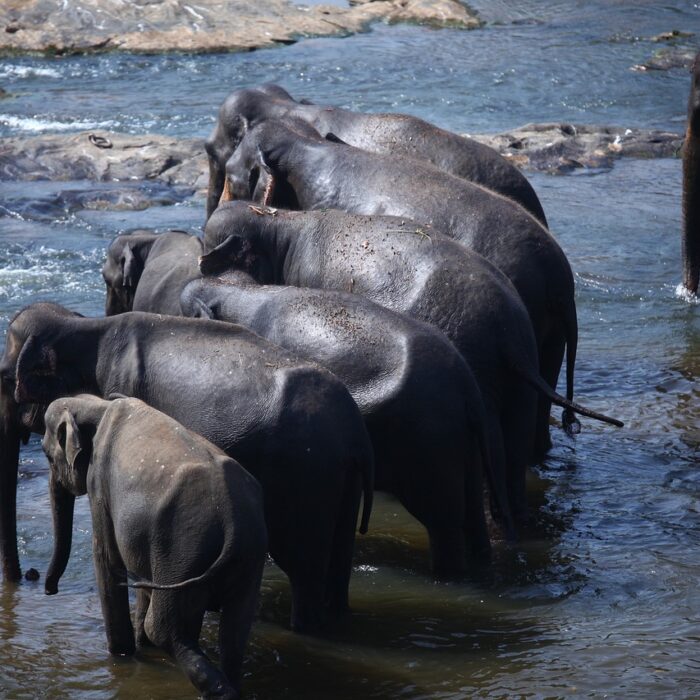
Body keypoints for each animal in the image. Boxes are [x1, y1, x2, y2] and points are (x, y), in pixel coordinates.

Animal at [0, 303, 373, 636]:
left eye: (4, 379)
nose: (35, 578)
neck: (85, 326)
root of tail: (355, 429)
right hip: (344, 480)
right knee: (338, 562)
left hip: (306, 478)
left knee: (302, 567)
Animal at [42, 394, 267, 700]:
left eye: (47, 456)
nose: (49, 590)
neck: (98, 404)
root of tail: (233, 520)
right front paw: (138, 647)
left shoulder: (99, 485)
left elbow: (107, 559)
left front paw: (122, 655)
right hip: (244, 558)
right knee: (235, 629)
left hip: (181, 551)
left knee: (163, 628)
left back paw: (220, 692)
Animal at [181, 274, 491, 576]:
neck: (243, 291)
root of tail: (466, 382)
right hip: (462, 442)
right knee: (474, 516)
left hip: (429, 442)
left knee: (443, 523)